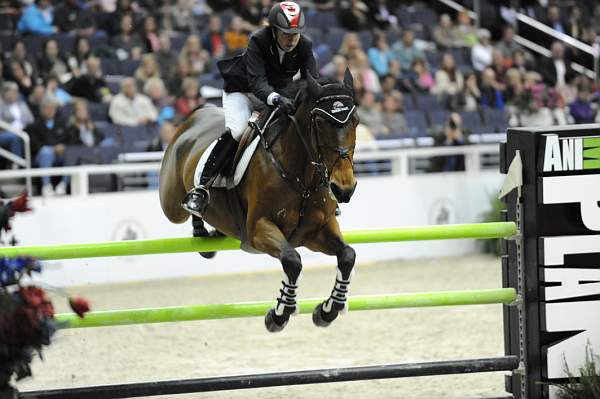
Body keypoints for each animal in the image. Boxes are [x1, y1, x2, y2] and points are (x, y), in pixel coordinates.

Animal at [157, 70, 358, 332]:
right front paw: (279, 315)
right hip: (170, 203)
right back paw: (197, 208)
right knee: (181, 208)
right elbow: (292, 261)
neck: (301, 175)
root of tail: (194, 117)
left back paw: (208, 232)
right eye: (321, 122)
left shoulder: (316, 231)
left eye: (355, 121)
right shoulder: (258, 230)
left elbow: (347, 256)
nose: (344, 189)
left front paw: (327, 311)